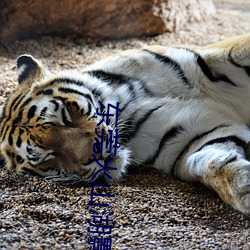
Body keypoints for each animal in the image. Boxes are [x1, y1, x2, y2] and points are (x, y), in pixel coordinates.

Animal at [0, 33, 250, 214]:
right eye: (47, 158)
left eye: (65, 115)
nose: (95, 154)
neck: (128, 104)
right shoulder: (187, 138)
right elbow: (210, 161)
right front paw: (243, 188)